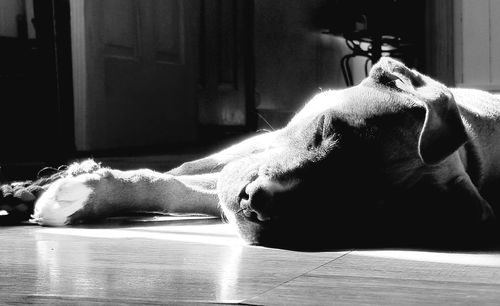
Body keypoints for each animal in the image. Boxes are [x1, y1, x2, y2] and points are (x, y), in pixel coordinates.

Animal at [31, 58, 500, 250]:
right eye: (328, 127)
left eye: (359, 207)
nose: (255, 201)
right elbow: (172, 182)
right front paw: (87, 190)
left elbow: (182, 190)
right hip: (252, 144)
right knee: (189, 165)